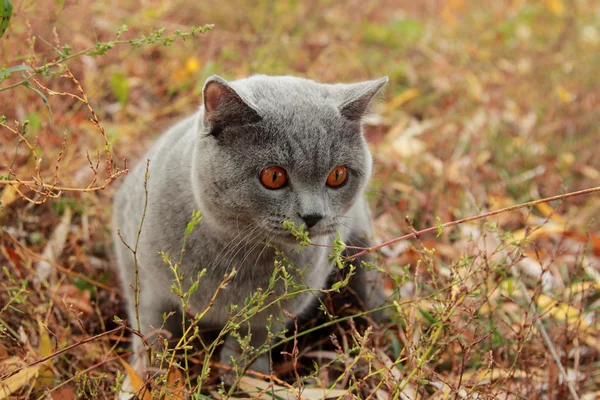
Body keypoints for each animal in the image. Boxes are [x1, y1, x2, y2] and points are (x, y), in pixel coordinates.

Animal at [110, 73, 386, 382]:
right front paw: (149, 374)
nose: (313, 215)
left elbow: (254, 333)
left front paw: (242, 376)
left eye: (338, 175)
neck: (237, 254)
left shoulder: (282, 305)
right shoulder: (143, 277)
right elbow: (152, 328)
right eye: (273, 176)